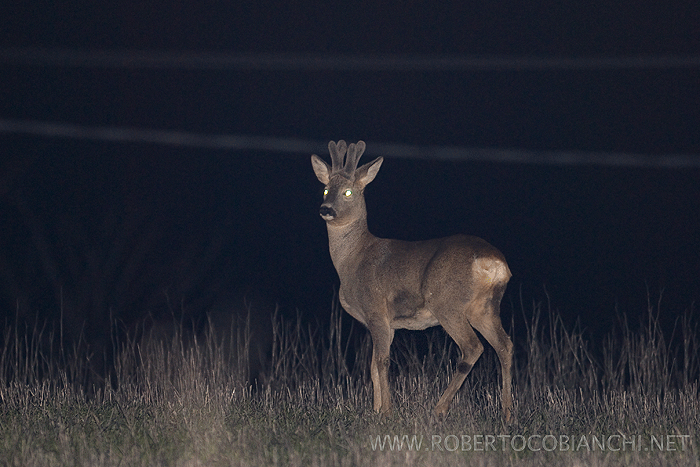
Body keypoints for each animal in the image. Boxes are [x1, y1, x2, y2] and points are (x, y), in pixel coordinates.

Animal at [312, 140, 516, 424]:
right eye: (325, 189)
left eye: (349, 192)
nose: (326, 209)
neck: (353, 260)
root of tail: (495, 263)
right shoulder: (388, 323)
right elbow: (373, 365)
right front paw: (376, 409)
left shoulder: (376, 308)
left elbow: (382, 362)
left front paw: (386, 411)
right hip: (484, 307)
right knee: (505, 345)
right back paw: (507, 413)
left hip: (447, 303)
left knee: (473, 347)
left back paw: (439, 408)